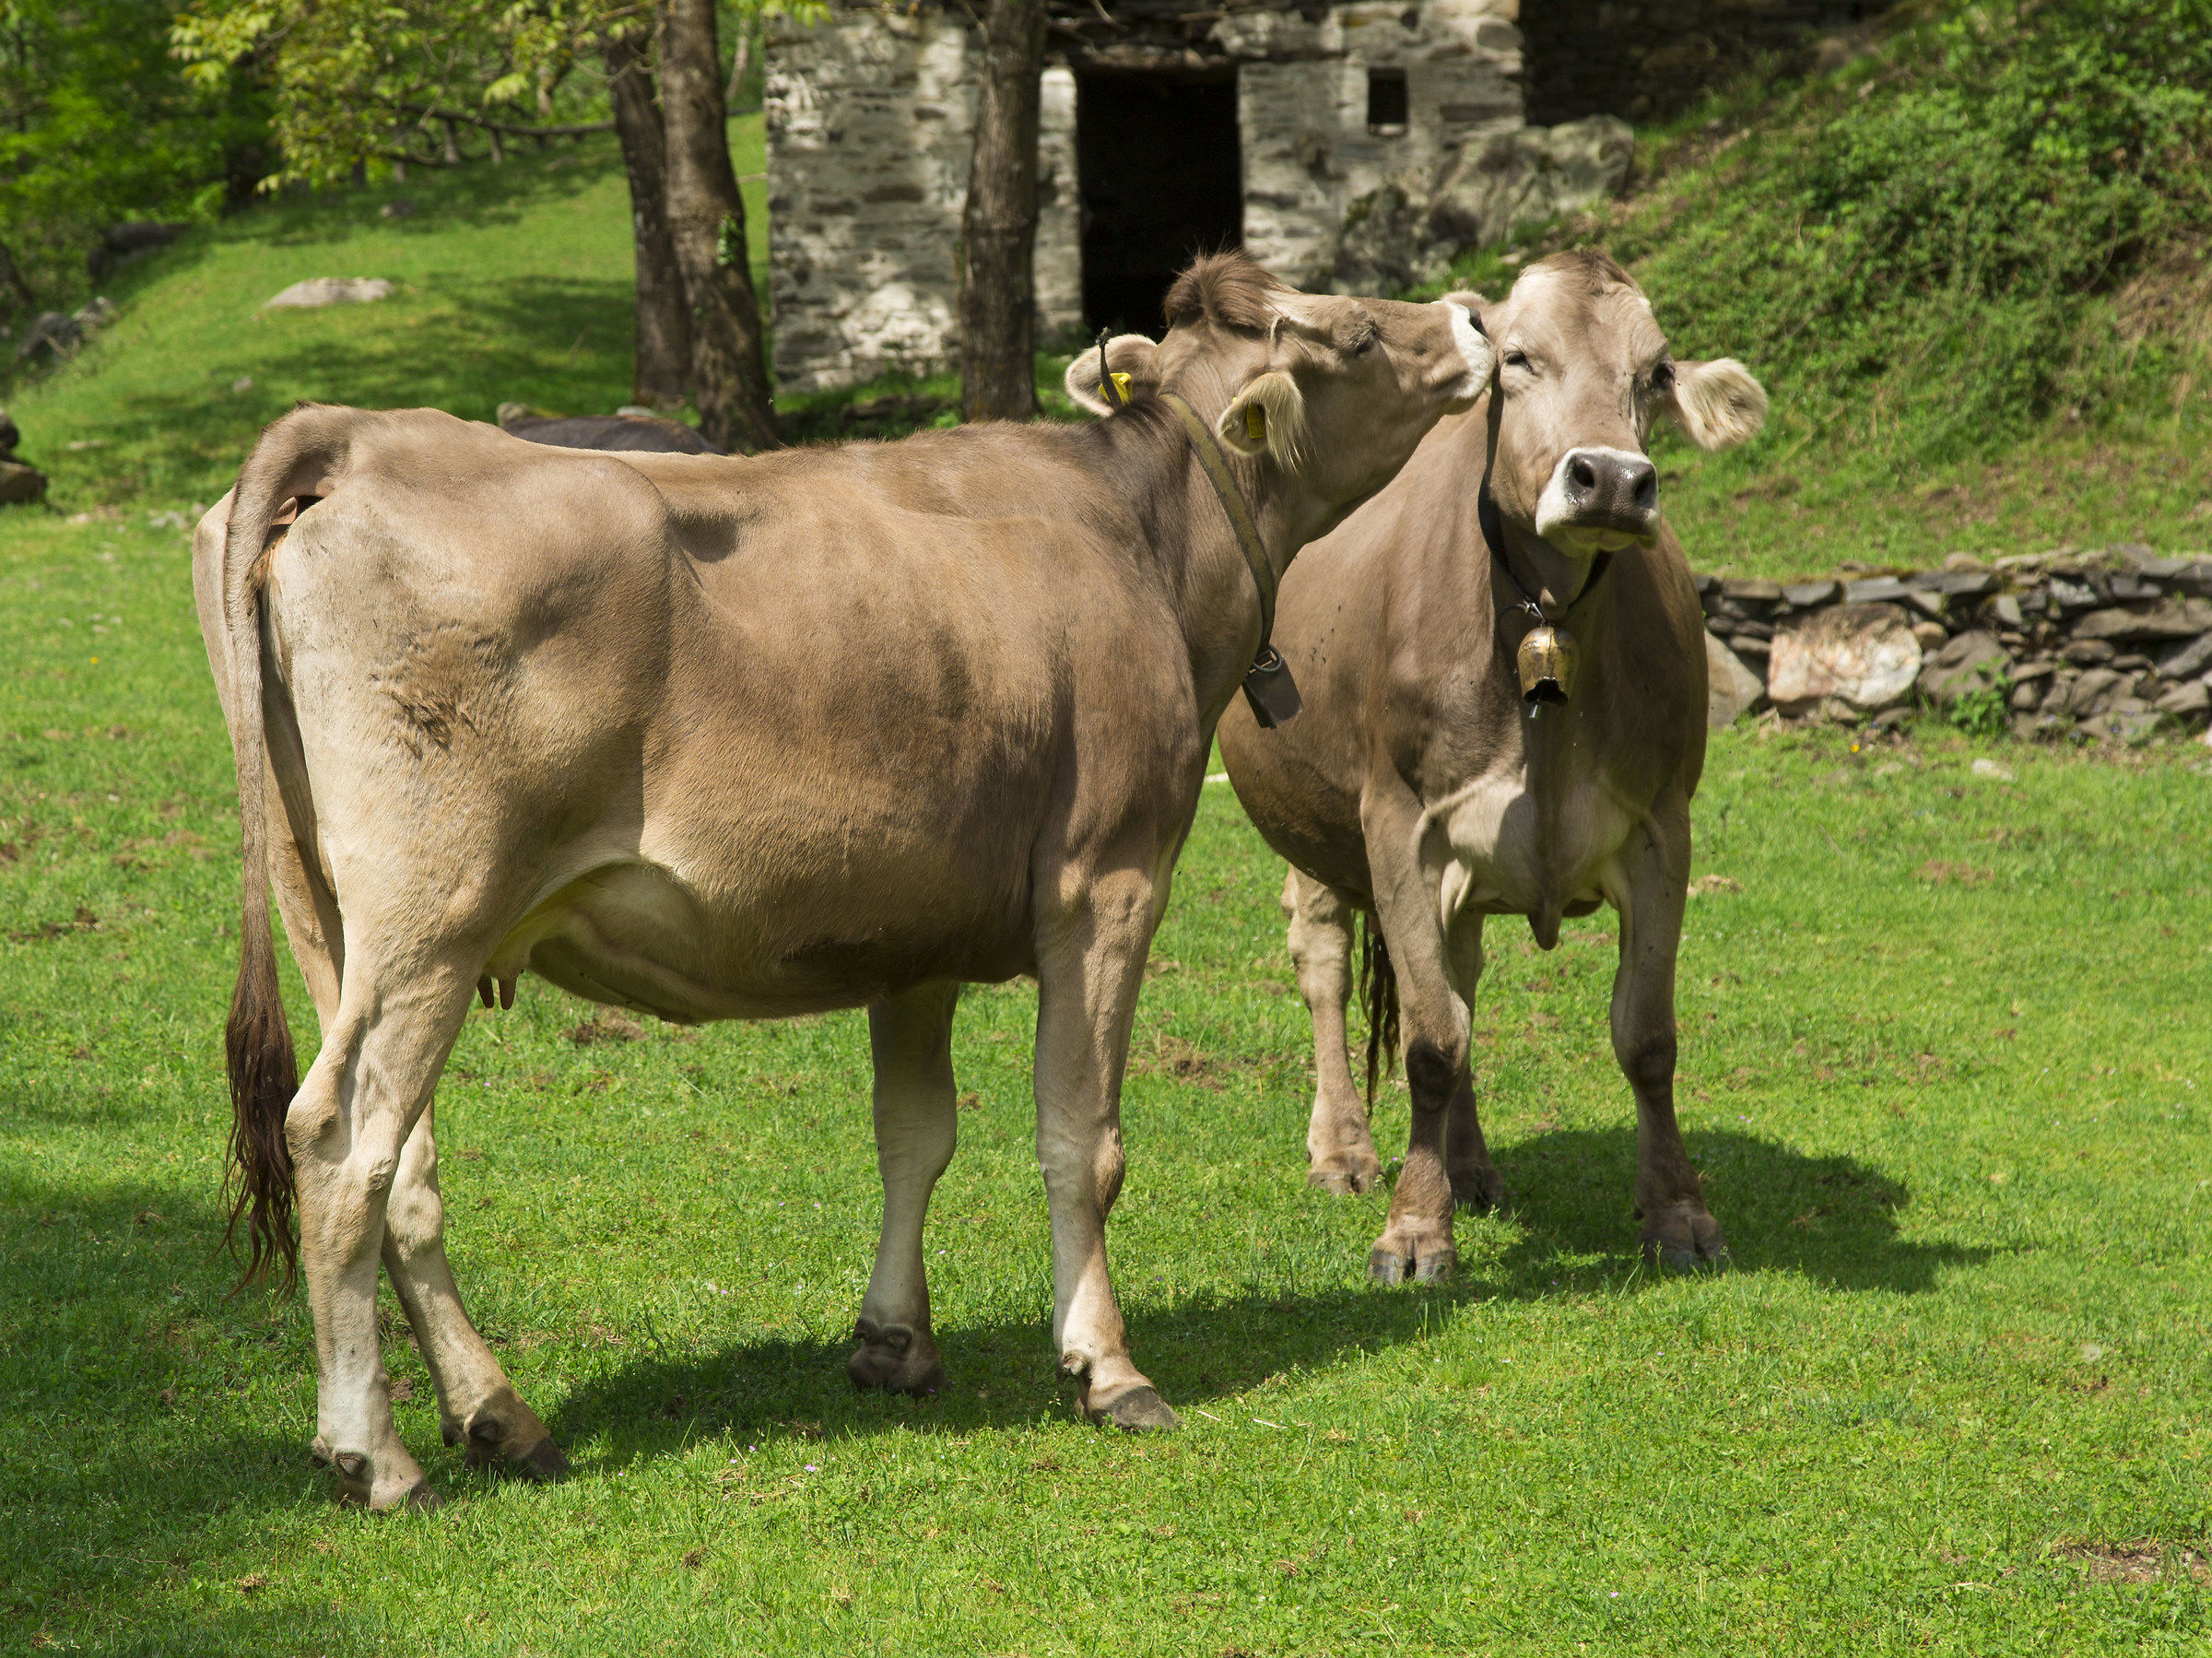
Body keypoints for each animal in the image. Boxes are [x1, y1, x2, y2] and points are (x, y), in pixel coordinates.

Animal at [194, 252, 1494, 1509]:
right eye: (1357, 333)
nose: (1474, 317)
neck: (1145, 536)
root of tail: (365, 438)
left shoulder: (914, 926)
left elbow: (914, 1134)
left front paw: (893, 1343)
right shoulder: (1108, 880)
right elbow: (1083, 1135)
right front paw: (1107, 1364)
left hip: (339, 921)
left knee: (403, 1163)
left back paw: (499, 1414)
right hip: (434, 913)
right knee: (340, 1141)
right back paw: (374, 1452)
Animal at [1217, 249, 1766, 1285]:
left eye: (1657, 373)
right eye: (1519, 358)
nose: (1611, 479)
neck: (1545, 624)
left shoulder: (1660, 828)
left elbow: (1646, 1037)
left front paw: (1679, 1213)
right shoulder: (1400, 825)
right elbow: (1431, 1038)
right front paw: (1413, 1231)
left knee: (1460, 972)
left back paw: (1468, 1166)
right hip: (1312, 828)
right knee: (1325, 959)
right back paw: (1345, 1150)